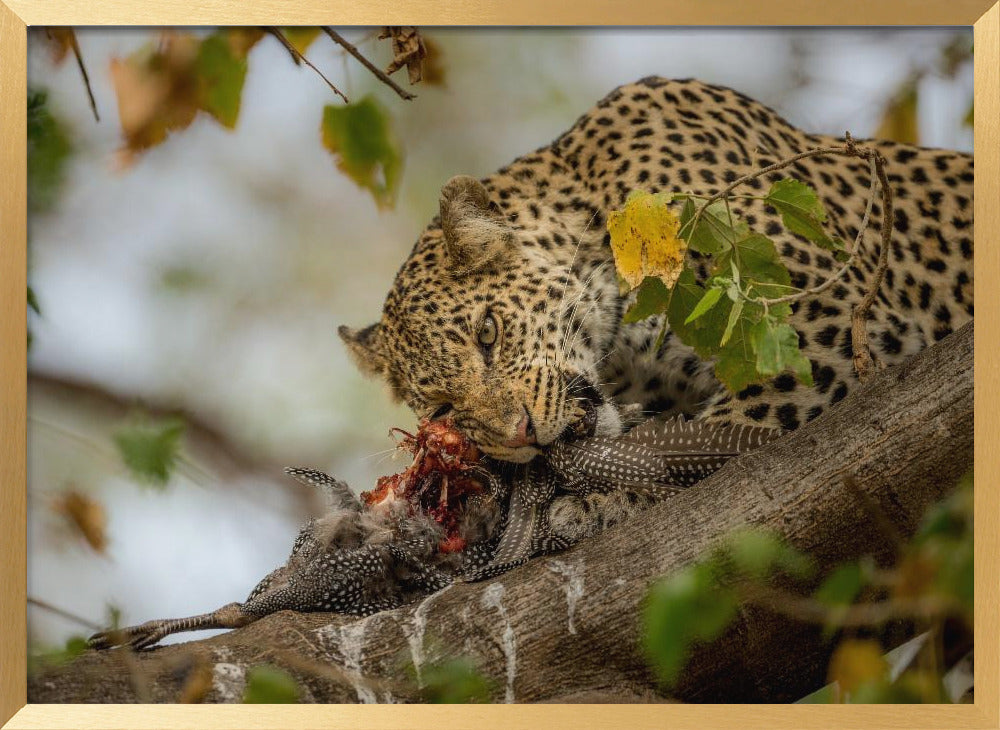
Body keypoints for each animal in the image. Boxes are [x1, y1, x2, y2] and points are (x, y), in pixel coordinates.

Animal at [336, 78, 968, 540]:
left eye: (488, 334)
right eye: (443, 409)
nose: (518, 437)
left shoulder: (820, 322)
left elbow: (719, 433)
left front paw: (600, 497)